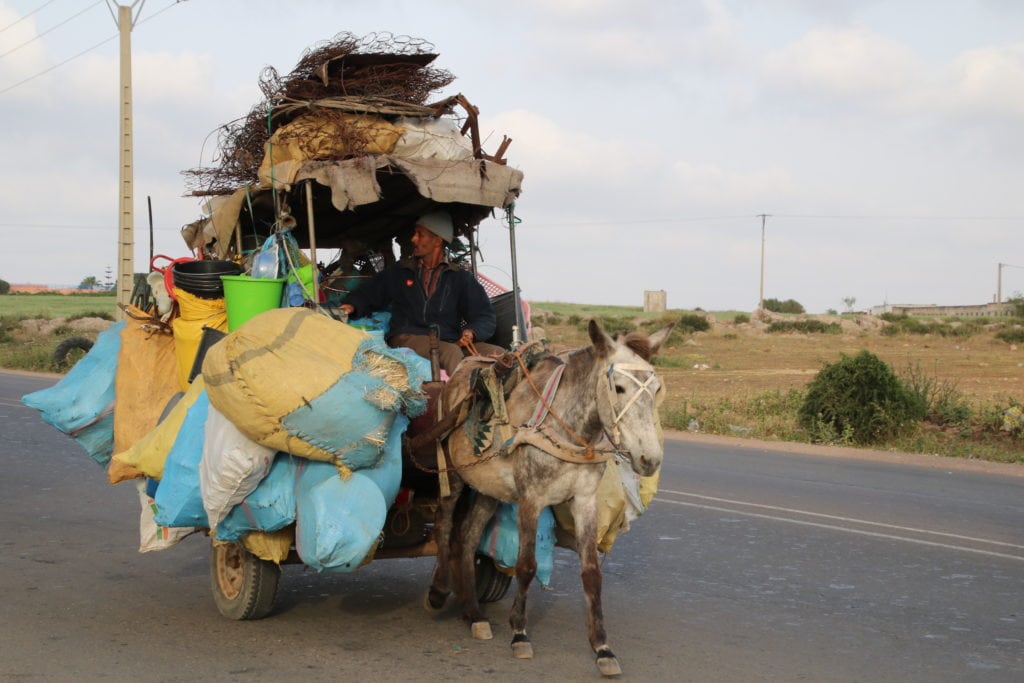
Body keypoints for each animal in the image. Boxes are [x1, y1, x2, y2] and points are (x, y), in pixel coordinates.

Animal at [425, 319, 671, 677]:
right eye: (619, 388)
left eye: (656, 389)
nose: (650, 460)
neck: (566, 426)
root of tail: (461, 369)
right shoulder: (531, 499)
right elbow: (526, 565)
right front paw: (519, 633)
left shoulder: (585, 501)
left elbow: (592, 573)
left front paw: (602, 648)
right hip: (453, 474)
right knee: (444, 526)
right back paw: (439, 591)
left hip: (488, 488)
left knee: (467, 537)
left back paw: (474, 614)